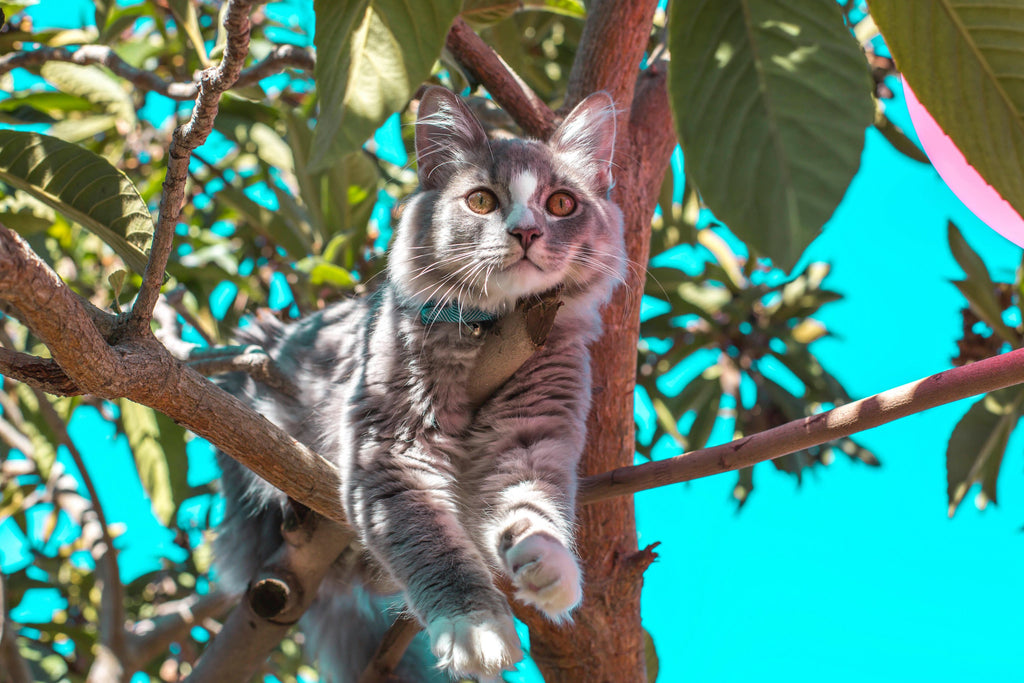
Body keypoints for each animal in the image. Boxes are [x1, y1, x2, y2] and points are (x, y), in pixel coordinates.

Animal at [216, 88, 622, 679]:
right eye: (482, 202)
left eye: (562, 204)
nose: (526, 232)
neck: (491, 335)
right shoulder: (393, 448)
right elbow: (433, 546)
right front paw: (475, 630)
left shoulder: (530, 436)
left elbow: (533, 510)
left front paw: (547, 567)